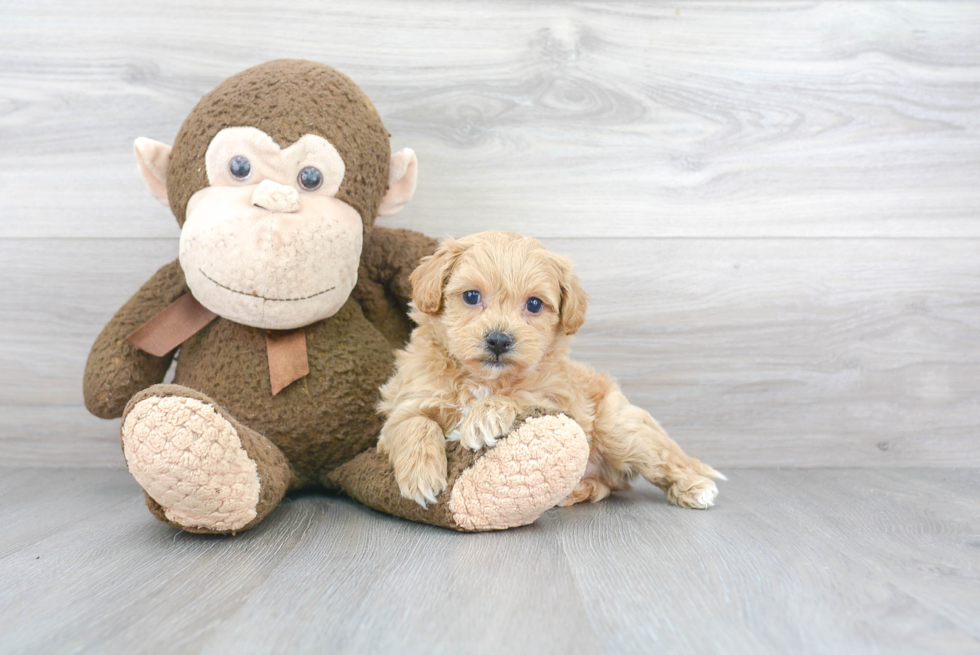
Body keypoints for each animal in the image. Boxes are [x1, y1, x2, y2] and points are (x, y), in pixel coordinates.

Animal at [378, 233, 724, 510]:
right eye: (471, 296)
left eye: (534, 304)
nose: (499, 340)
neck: (484, 380)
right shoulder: (407, 399)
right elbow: (412, 423)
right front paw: (422, 476)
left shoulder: (559, 399)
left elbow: (523, 396)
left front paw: (484, 416)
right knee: (608, 486)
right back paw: (575, 491)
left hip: (617, 428)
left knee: (664, 460)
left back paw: (695, 488)